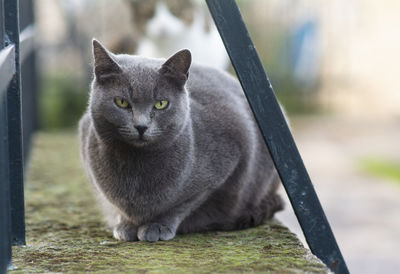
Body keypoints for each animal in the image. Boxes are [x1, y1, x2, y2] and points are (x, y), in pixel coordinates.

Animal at [78, 39, 282, 242]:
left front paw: (157, 226)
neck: (134, 165)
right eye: (122, 102)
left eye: (161, 104)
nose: (141, 126)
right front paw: (126, 224)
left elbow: (182, 205)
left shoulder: (227, 160)